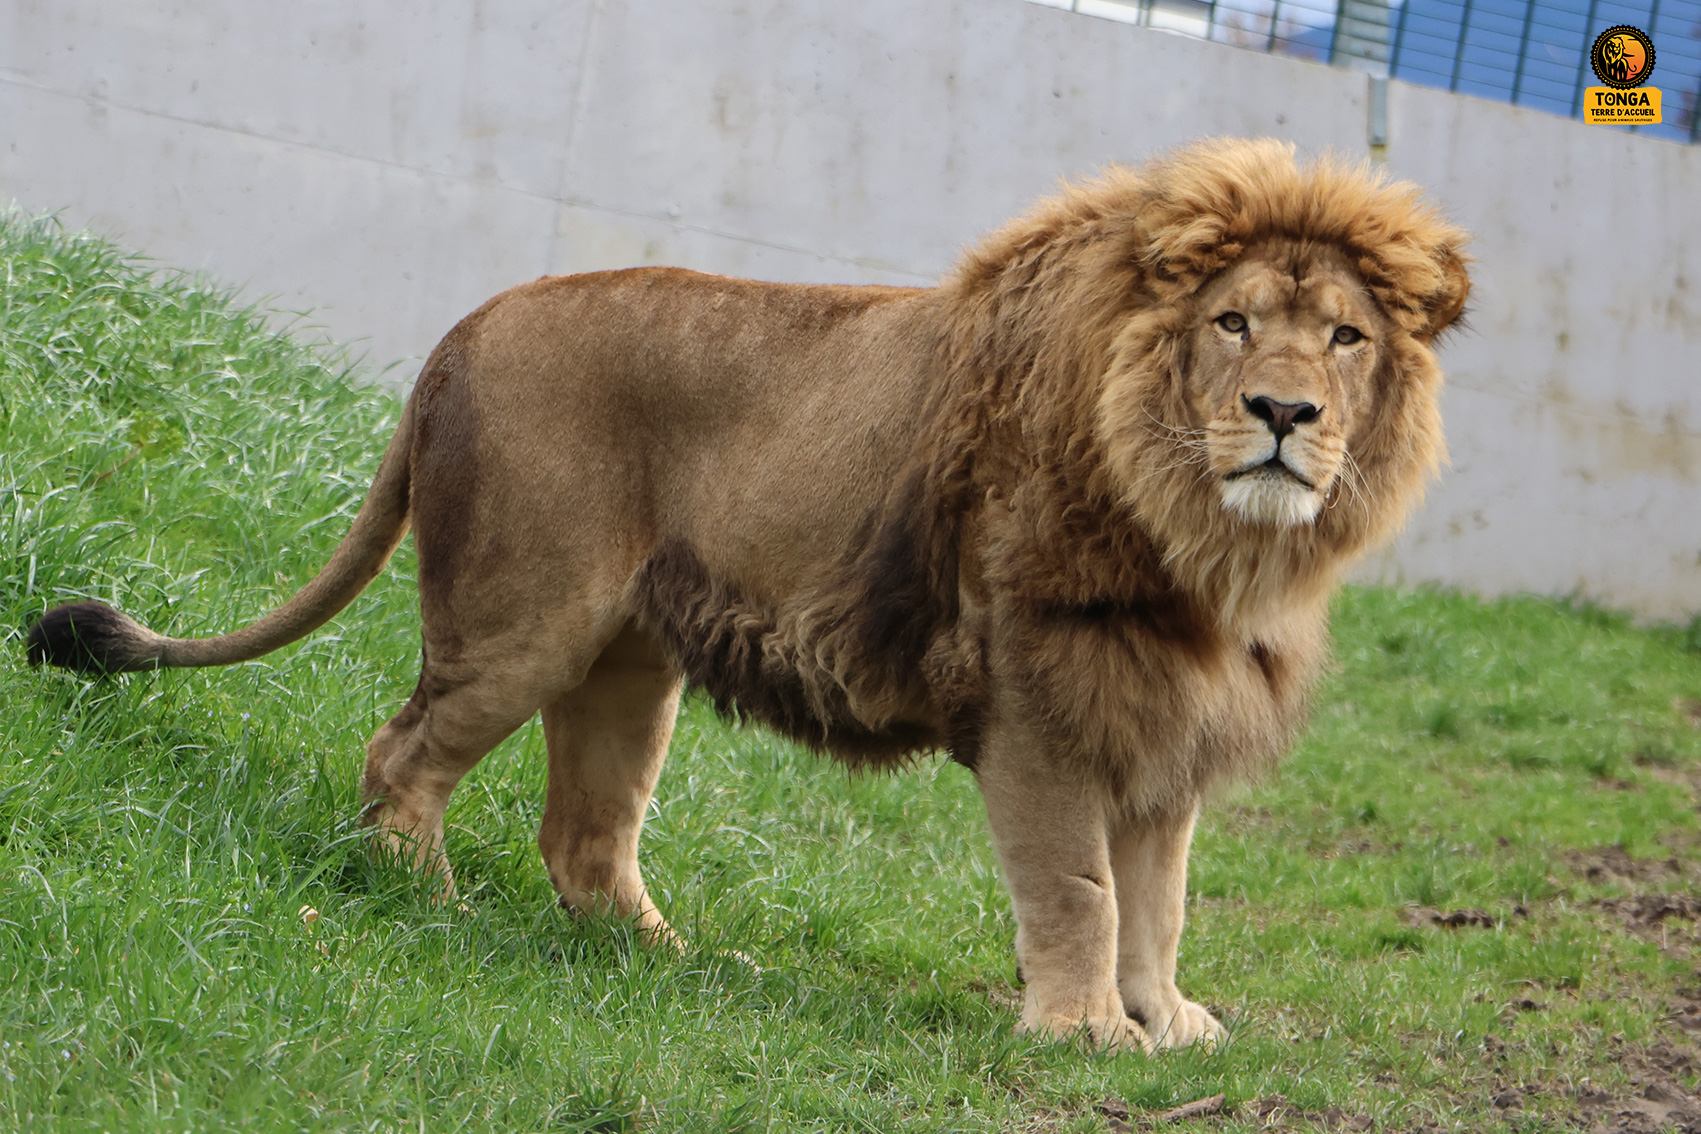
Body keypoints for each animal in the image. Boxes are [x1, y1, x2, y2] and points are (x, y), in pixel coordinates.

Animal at [27, 138, 1469, 1054]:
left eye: (1346, 337)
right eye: (1233, 323)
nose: (1283, 414)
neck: (1209, 546)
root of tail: (455, 334)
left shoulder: (1162, 729)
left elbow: (1159, 903)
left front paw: (1162, 1020)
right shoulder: (1038, 711)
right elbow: (1080, 888)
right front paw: (1082, 1033)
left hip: (627, 661)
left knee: (583, 835)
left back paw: (674, 963)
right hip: (526, 621)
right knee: (404, 749)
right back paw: (420, 900)